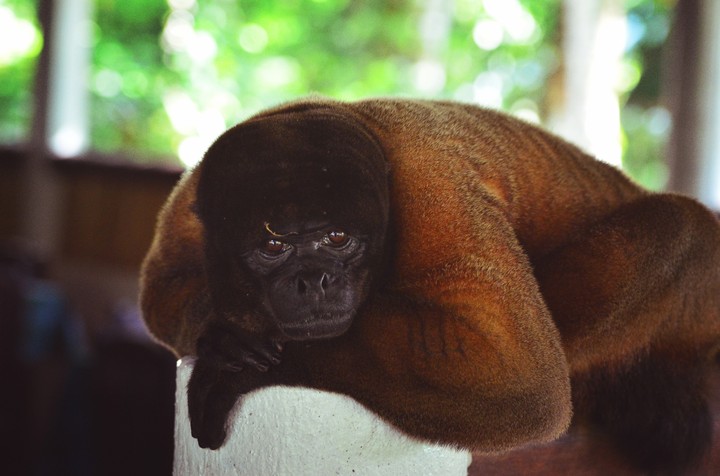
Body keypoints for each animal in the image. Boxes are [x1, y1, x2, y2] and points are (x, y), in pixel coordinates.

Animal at [140, 97, 720, 474]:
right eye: (273, 247)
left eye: (337, 238)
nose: (314, 281)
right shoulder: (186, 210)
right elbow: (159, 300)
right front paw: (229, 330)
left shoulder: (433, 195)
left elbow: (522, 380)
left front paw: (233, 360)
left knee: (677, 225)